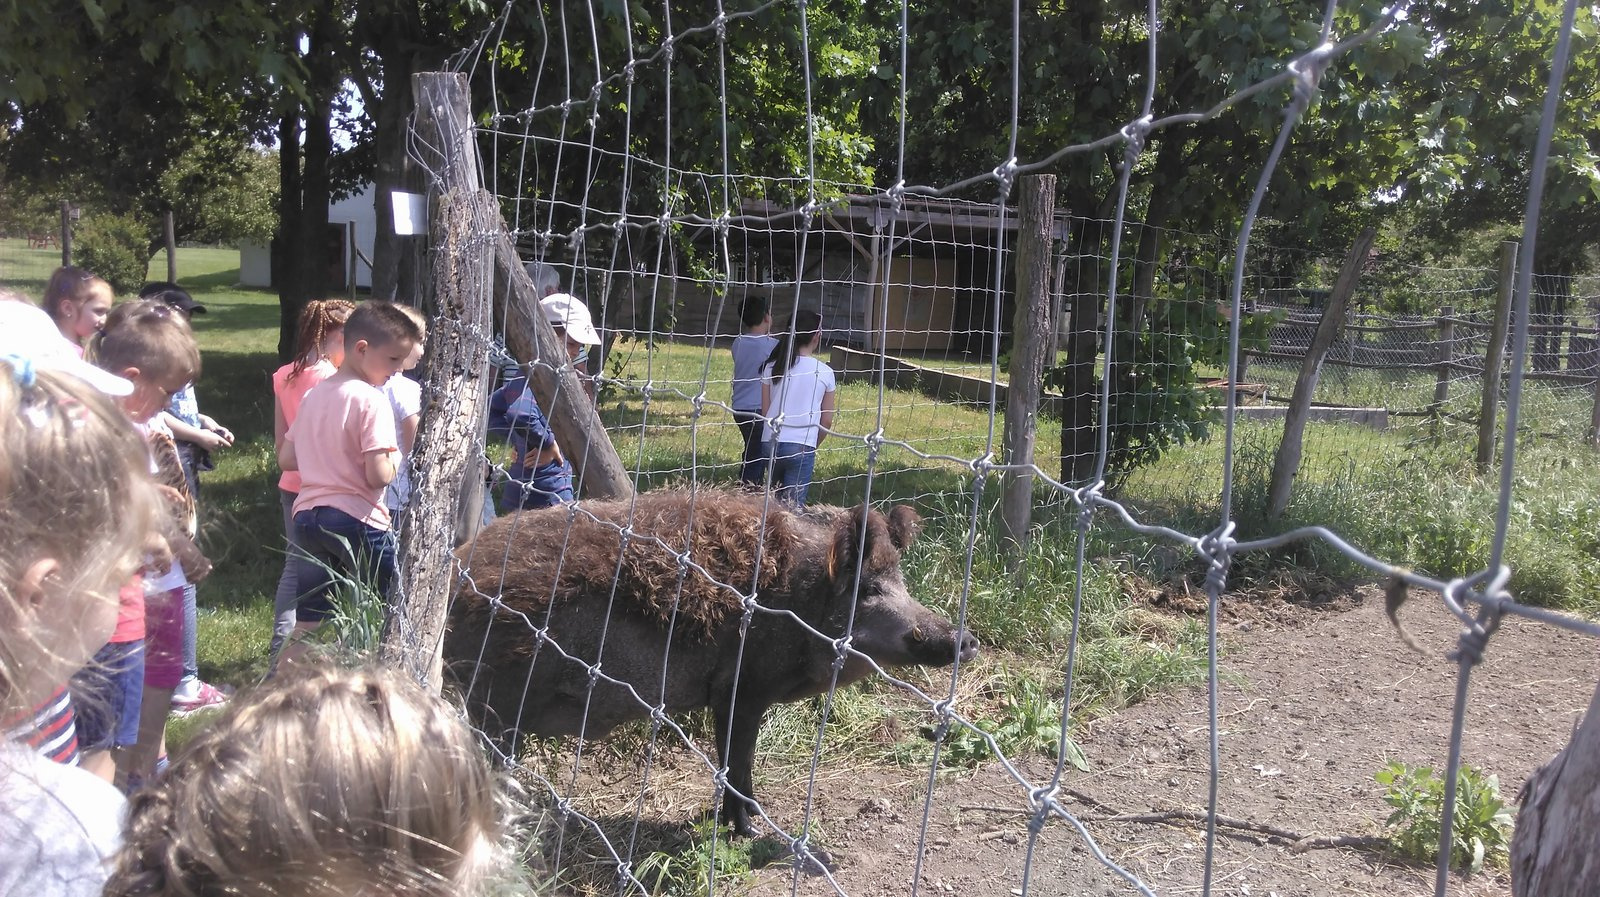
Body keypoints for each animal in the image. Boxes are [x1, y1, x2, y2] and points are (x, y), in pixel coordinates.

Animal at [444, 486, 979, 837]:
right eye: (868, 590)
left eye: (902, 582)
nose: (966, 639)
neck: (799, 605)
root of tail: (457, 572)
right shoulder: (742, 689)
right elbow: (736, 759)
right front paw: (750, 831)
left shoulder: (724, 696)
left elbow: (729, 760)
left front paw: (748, 818)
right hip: (494, 701)